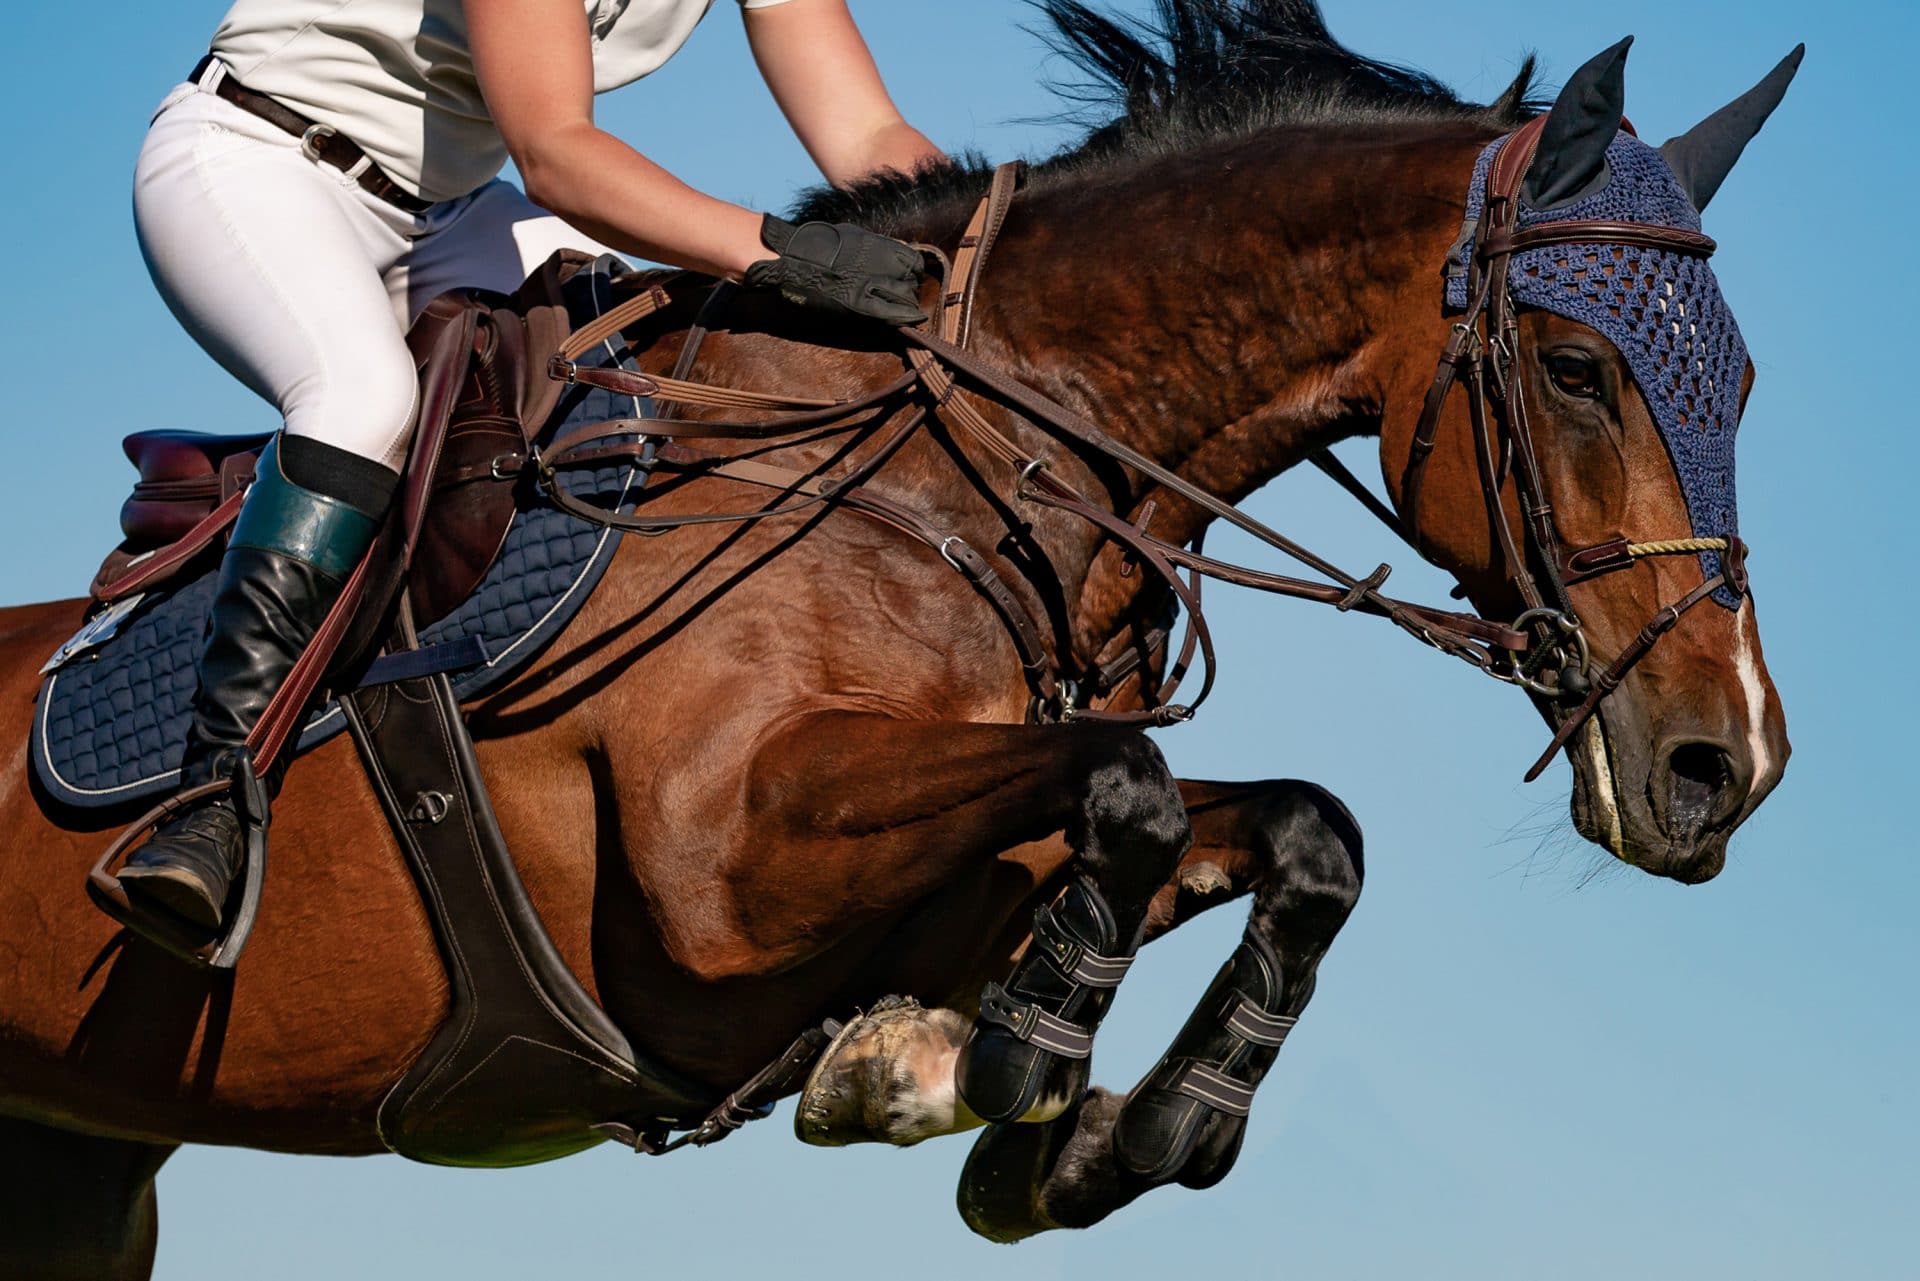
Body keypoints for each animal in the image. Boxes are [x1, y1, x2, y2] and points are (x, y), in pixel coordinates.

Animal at [0, 5, 1789, 1275]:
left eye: (1748, 379)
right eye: (1577, 369)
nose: (1728, 766)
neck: (955, 469)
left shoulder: (968, 846)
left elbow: (1295, 830)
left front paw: (1082, 1113)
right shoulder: (723, 866)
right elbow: (1133, 787)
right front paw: (1003, 1064)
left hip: (81, 1173)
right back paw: (188, 856)